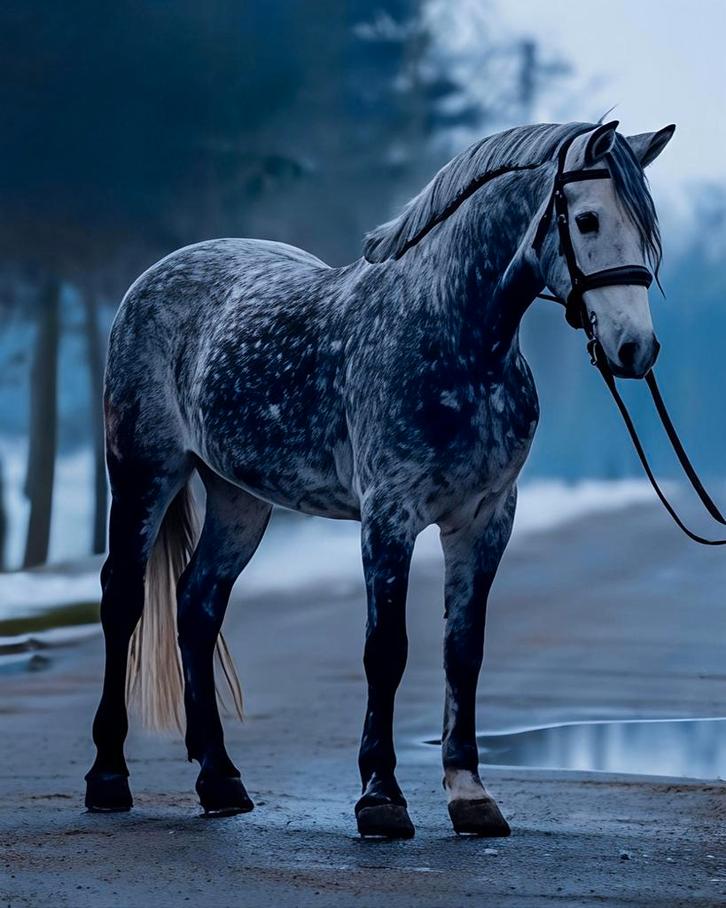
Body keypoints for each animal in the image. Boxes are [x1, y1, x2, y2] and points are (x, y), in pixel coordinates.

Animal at [85, 119, 674, 838]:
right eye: (587, 219)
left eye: (647, 230)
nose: (635, 349)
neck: (450, 336)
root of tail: (156, 277)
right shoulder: (389, 516)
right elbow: (385, 650)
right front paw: (381, 797)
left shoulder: (486, 519)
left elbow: (463, 651)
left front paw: (469, 794)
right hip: (145, 473)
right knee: (122, 600)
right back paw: (108, 777)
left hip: (239, 498)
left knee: (197, 606)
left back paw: (220, 780)